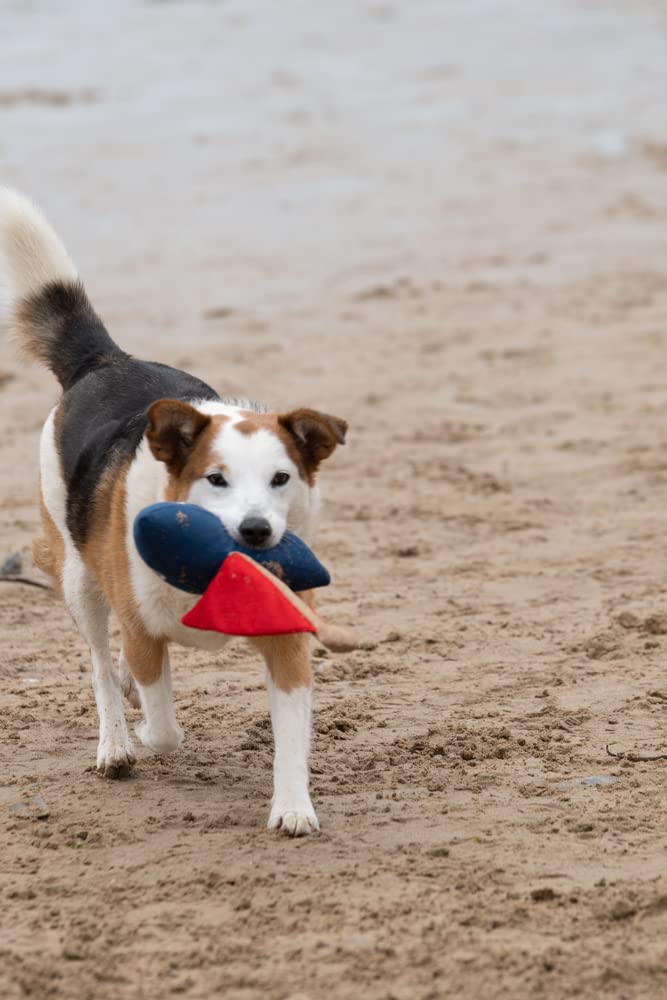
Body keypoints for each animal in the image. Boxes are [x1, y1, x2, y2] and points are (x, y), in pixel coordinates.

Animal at [0, 189, 344, 836]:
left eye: (281, 479)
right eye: (216, 480)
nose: (257, 532)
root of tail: (105, 361)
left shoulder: (286, 636)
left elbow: (291, 734)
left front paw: (292, 807)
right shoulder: (141, 628)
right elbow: (162, 729)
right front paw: (141, 731)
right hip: (78, 576)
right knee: (99, 664)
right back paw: (114, 743)